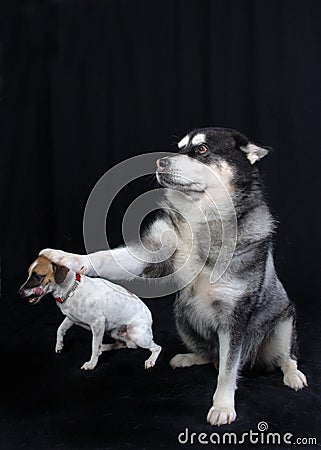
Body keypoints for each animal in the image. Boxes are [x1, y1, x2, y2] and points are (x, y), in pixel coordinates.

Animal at [18, 255, 161, 370]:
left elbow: (93, 345)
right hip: (113, 332)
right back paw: (104, 347)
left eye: (38, 276)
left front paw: (91, 363)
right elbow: (60, 329)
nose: (19, 293)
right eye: (28, 274)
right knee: (122, 344)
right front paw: (59, 345)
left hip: (137, 335)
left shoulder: (97, 324)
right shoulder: (71, 319)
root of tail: (149, 317)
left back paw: (150, 360)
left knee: (156, 347)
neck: (71, 289)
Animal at [41, 127, 306, 426]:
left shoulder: (234, 318)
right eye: (180, 148)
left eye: (201, 150)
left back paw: (293, 375)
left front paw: (223, 405)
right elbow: (103, 258)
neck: (201, 218)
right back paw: (190, 358)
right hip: (184, 316)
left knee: (282, 356)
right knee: (211, 355)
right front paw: (67, 257)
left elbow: (228, 371)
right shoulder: (149, 254)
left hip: (283, 325)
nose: (159, 163)